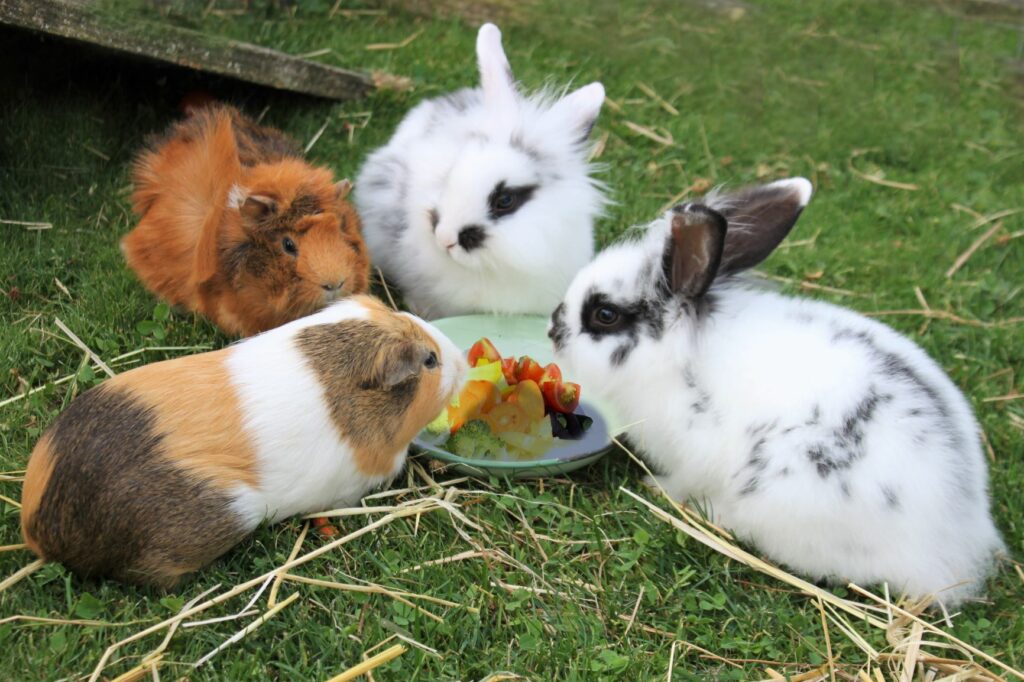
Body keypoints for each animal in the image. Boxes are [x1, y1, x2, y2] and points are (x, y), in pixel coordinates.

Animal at [548, 178, 1003, 602]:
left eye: (605, 314)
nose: (553, 329)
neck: (678, 356)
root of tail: (954, 545)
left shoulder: (692, 455)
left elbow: (680, 479)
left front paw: (654, 487)